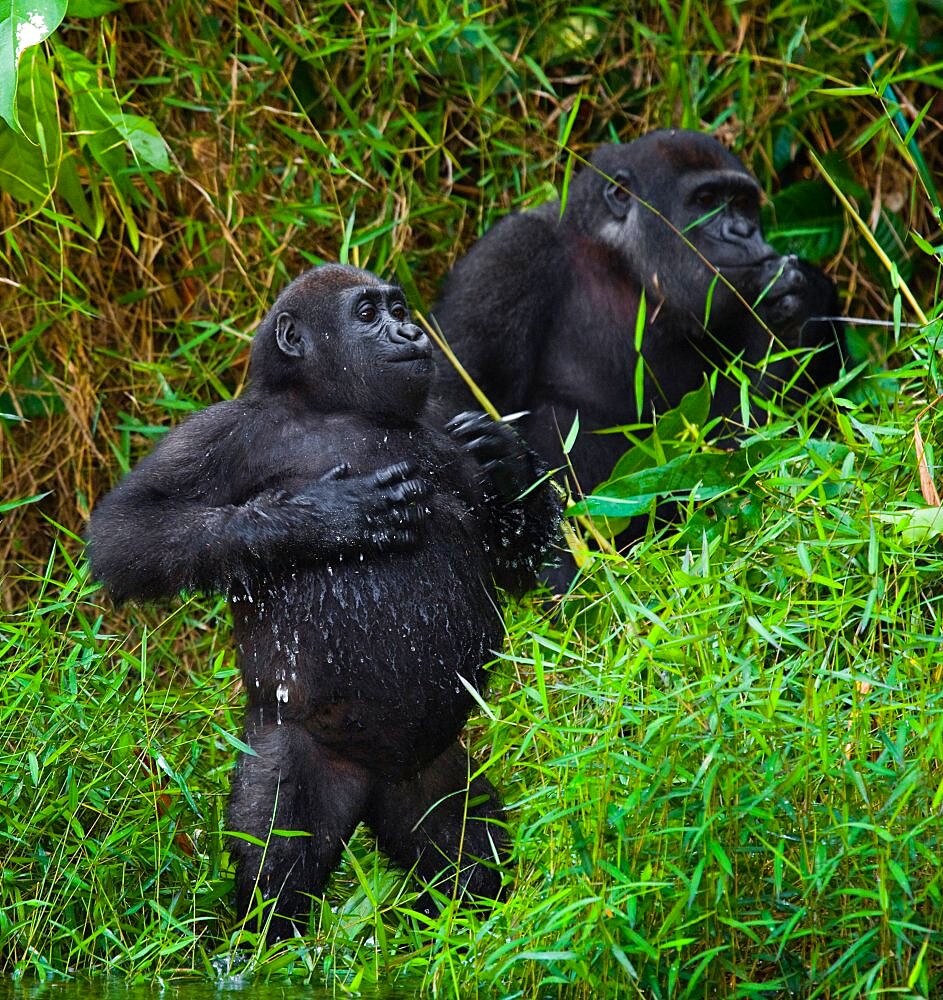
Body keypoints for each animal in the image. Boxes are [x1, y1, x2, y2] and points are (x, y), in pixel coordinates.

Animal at [85, 262, 560, 940]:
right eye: (367, 314)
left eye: (397, 309)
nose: (410, 331)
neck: (330, 405)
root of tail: (376, 780)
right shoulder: (223, 432)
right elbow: (128, 530)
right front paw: (315, 518)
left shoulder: (443, 420)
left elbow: (518, 557)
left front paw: (510, 461)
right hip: (300, 750)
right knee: (279, 862)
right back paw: (267, 944)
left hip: (431, 771)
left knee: (465, 854)